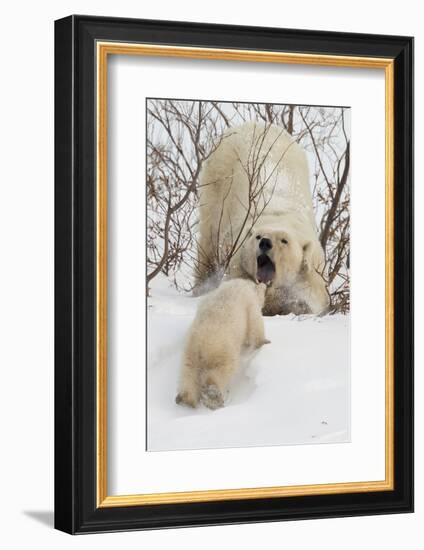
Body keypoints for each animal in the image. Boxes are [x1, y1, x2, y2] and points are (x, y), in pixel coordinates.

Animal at [176, 280, 268, 410]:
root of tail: (201, 343)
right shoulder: (250, 305)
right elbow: (255, 325)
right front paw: (264, 342)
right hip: (222, 349)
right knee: (222, 370)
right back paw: (213, 396)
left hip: (189, 352)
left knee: (188, 372)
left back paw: (186, 399)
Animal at [196, 123, 332, 316]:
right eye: (258, 236)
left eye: (284, 240)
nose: (265, 243)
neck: (280, 216)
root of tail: (251, 124)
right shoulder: (239, 260)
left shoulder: (312, 271)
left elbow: (311, 297)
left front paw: (292, 305)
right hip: (217, 181)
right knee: (208, 240)